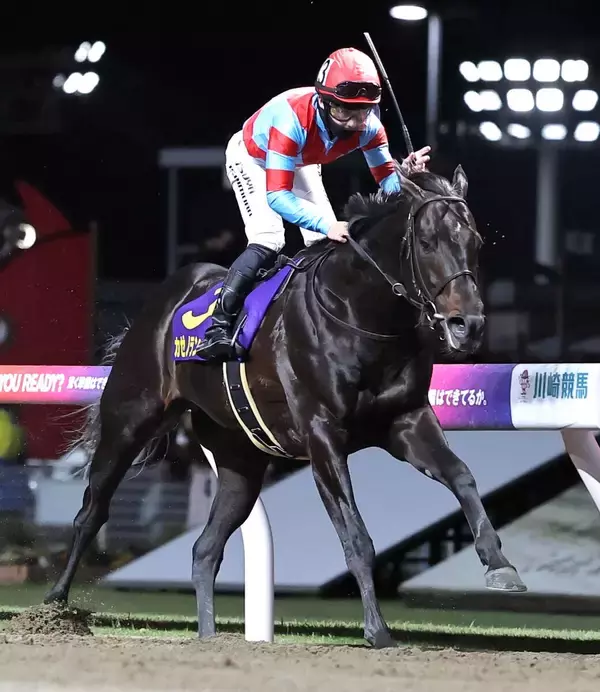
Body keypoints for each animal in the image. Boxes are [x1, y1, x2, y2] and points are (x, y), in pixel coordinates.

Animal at [44, 163, 526, 649]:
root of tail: (170, 295)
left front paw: (500, 565)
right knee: (91, 513)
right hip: (128, 419)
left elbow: (461, 476)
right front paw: (377, 629)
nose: (467, 326)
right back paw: (54, 604)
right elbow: (355, 535)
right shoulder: (322, 434)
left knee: (205, 549)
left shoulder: (406, 421)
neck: (359, 312)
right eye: (427, 243)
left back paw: (209, 636)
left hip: (239, 460)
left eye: (475, 242)